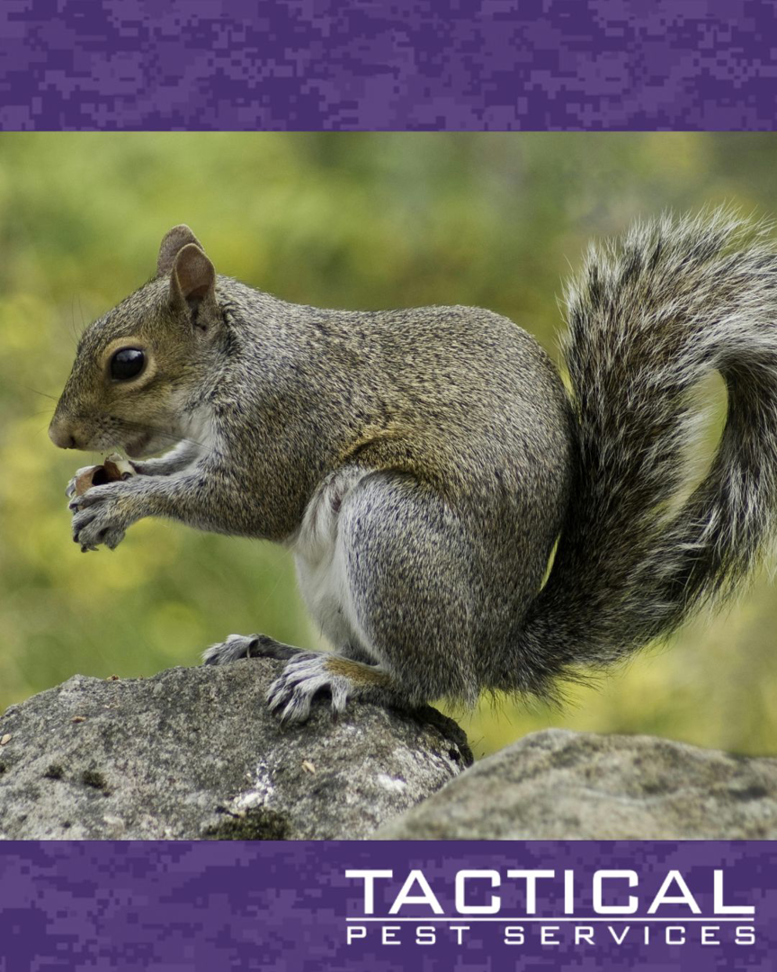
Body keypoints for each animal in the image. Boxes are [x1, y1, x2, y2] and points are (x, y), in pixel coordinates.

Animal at [49, 212, 777, 724]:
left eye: (128, 362)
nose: (60, 436)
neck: (239, 360)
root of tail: (490, 647)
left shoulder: (285, 420)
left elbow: (248, 501)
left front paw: (121, 502)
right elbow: (179, 465)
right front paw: (103, 482)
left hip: (393, 531)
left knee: (427, 685)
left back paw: (339, 676)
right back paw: (277, 649)